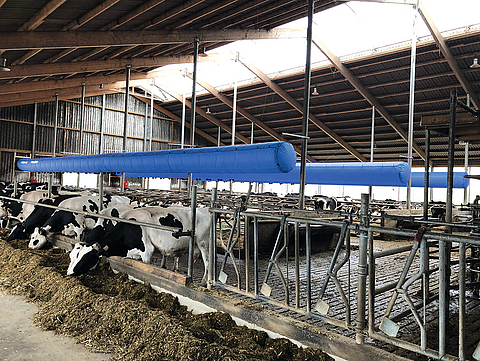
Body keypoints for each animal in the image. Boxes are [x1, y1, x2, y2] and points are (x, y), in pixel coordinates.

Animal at [67, 205, 212, 284]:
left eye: (86, 258)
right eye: (72, 256)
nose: (69, 273)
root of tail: (204, 209)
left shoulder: (147, 251)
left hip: (203, 243)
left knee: (207, 262)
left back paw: (204, 282)